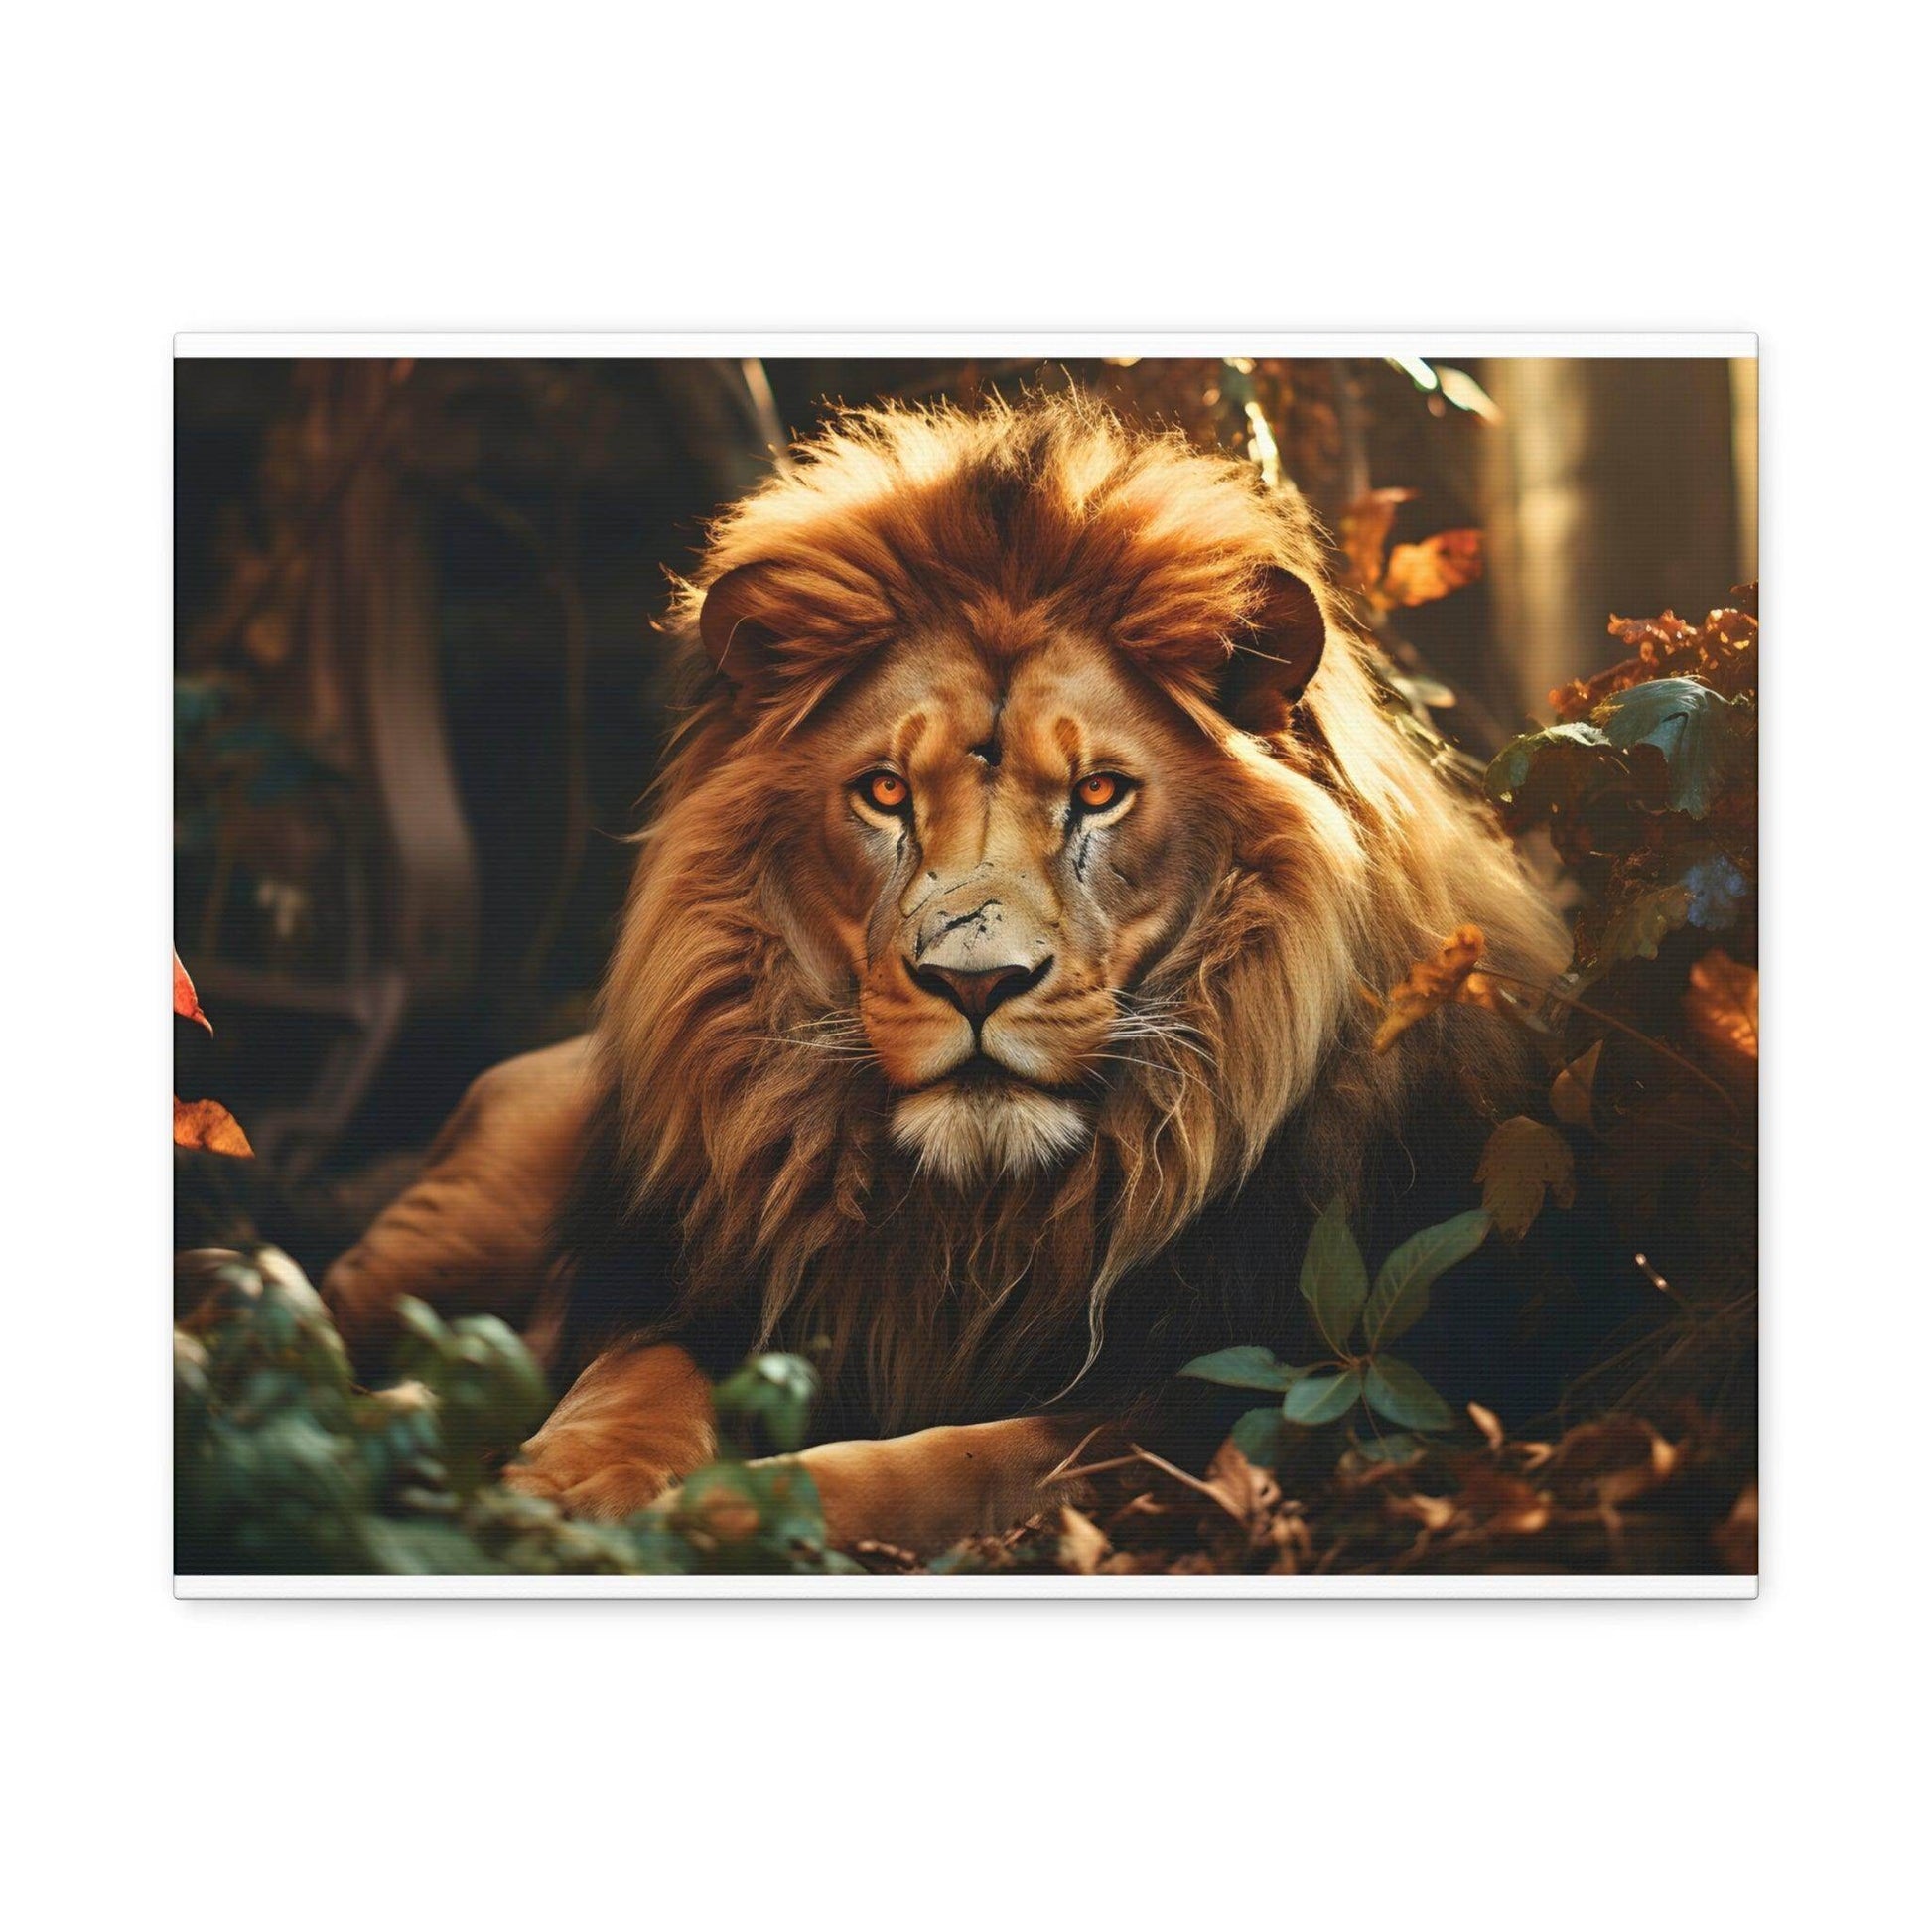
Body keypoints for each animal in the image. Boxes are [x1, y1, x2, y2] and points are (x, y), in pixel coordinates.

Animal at [323, 393, 1569, 1553]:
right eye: (884, 793)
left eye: (1098, 792)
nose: (976, 983)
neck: (972, 1217)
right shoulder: (692, 1291)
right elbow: (630, 1377)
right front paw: (566, 1482)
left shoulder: (1232, 1395)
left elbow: (954, 1457)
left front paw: (734, 1500)